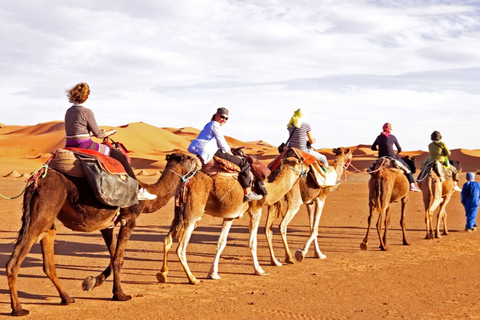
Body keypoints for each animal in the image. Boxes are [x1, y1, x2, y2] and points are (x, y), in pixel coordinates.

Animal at [4, 153, 199, 318]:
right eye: (189, 157)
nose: (199, 160)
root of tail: (35, 181)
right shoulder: (129, 220)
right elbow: (118, 258)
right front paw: (120, 294)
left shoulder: (108, 225)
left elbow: (113, 257)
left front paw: (92, 282)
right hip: (43, 210)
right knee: (15, 261)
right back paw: (18, 309)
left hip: (49, 219)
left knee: (48, 262)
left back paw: (67, 298)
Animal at [158, 154, 308, 284]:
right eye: (299, 161)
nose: (307, 167)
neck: (268, 189)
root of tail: (185, 182)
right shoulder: (256, 209)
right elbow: (252, 242)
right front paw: (259, 270)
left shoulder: (230, 216)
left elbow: (221, 242)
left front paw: (213, 273)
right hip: (192, 214)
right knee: (181, 248)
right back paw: (192, 279)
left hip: (179, 213)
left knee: (167, 240)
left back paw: (163, 274)